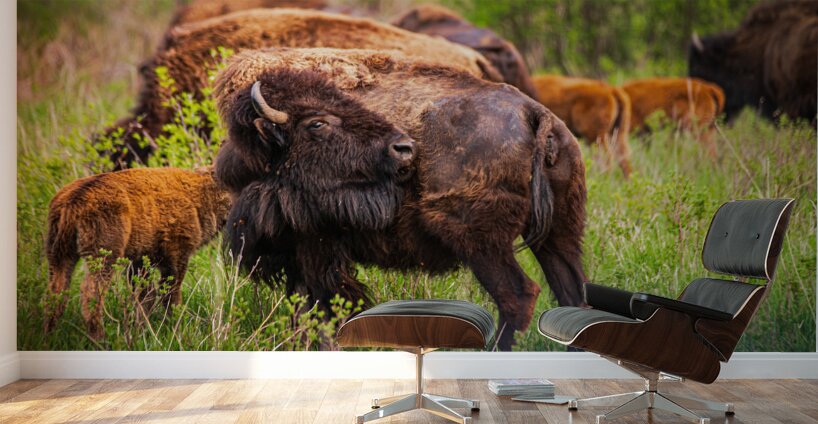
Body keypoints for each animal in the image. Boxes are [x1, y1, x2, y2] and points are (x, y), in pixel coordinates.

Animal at [214, 48, 587, 350]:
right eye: (317, 123)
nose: (405, 147)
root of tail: (534, 113)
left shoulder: (315, 247)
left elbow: (323, 306)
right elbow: (303, 309)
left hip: (482, 244)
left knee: (517, 296)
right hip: (558, 235)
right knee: (572, 293)